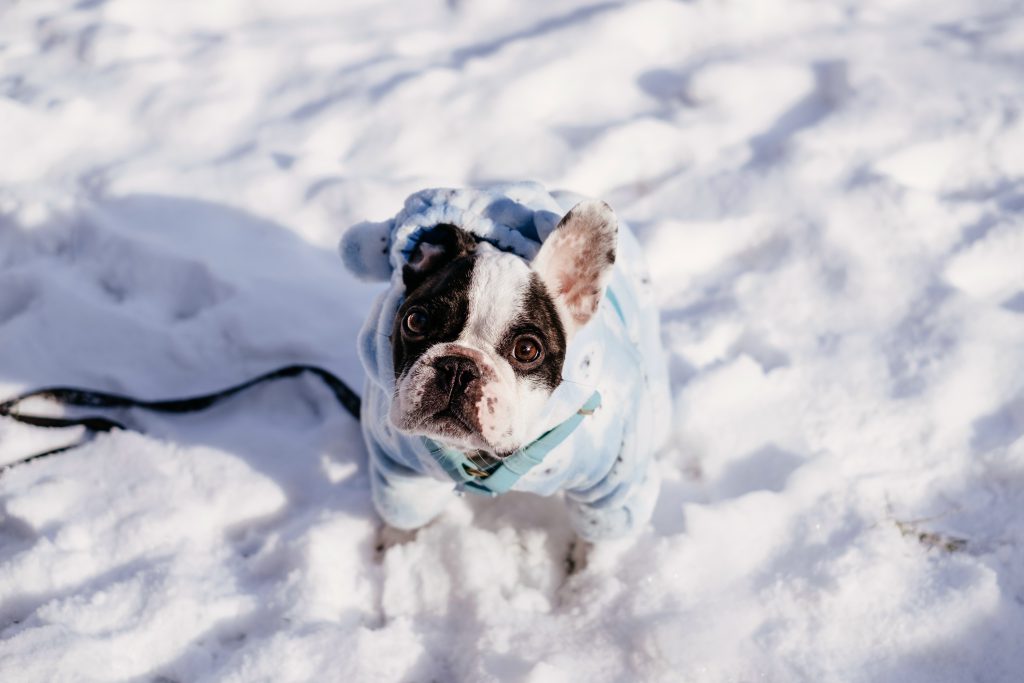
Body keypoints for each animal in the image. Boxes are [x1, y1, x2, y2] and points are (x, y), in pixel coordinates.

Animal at [339, 183, 667, 540]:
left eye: (526, 350)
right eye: (417, 321)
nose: (458, 367)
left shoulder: (613, 487)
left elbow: (598, 529)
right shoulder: (400, 474)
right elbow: (405, 515)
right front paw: (399, 543)